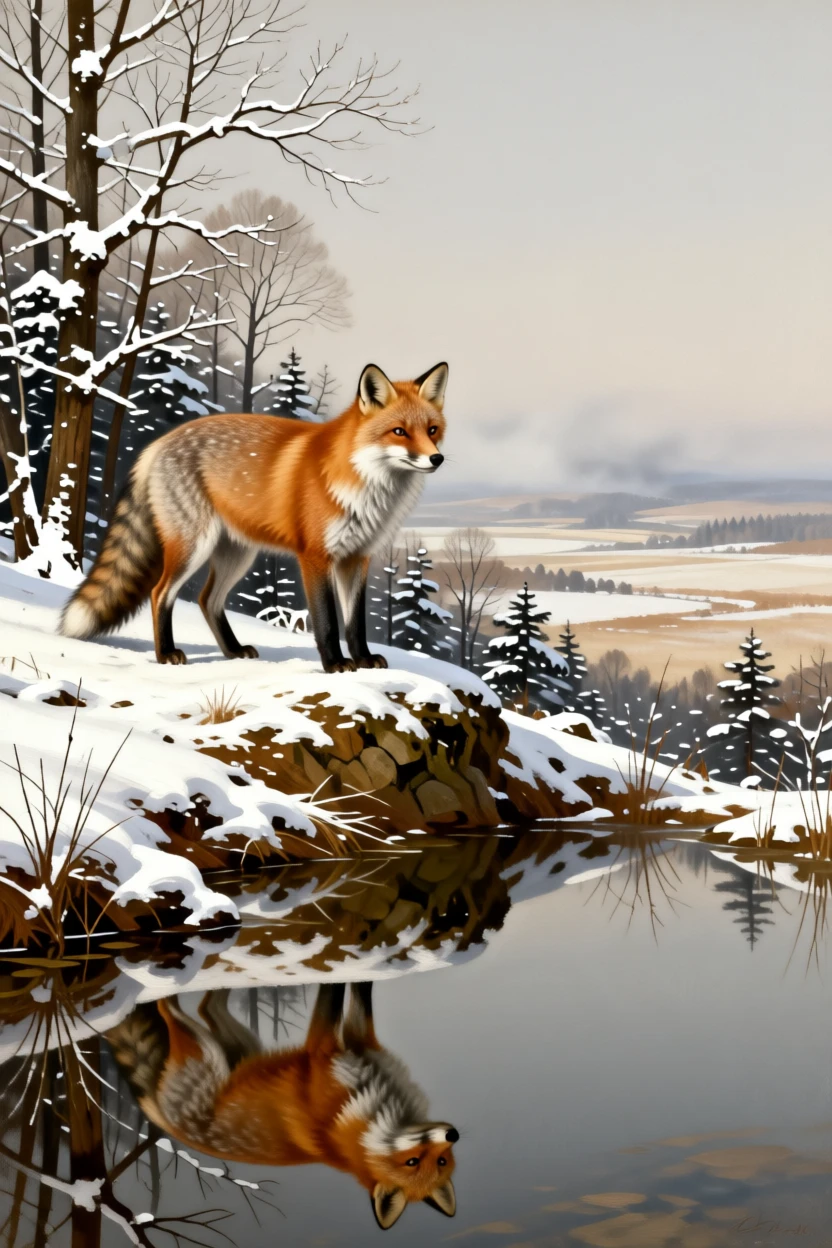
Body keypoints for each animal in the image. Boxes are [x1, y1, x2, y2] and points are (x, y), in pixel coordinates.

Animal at [60, 362, 448, 672]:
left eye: (432, 430)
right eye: (399, 431)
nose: (437, 459)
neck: (365, 487)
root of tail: (158, 444)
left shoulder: (357, 557)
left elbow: (356, 623)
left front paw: (364, 659)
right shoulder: (315, 556)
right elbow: (327, 622)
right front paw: (335, 664)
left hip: (238, 554)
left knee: (207, 600)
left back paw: (232, 651)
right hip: (193, 547)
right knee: (160, 594)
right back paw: (166, 653)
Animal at [107, 982, 458, 1231]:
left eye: (440, 1162)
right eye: (413, 1162)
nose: (452, 1134)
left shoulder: (351, 1046)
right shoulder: (330, 1048)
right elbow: (347, 991)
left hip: (237, 1044)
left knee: (205, 1006)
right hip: (206, 1047)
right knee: (168, 1005)